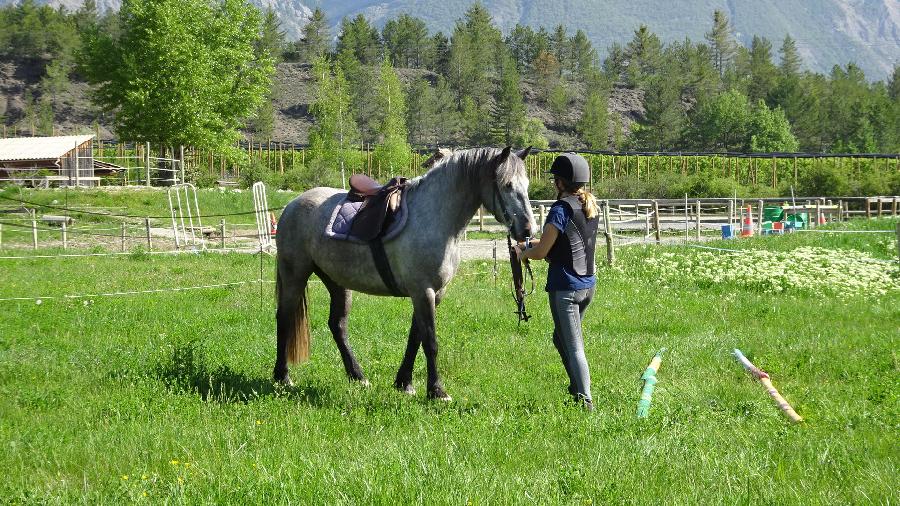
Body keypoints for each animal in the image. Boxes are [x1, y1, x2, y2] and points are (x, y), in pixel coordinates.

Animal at [270, 145, 532, 400]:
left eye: (527, 185)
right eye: (507, 185)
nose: (528, 230)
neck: (433, 216)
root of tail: (292, 205)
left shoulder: (433, 294)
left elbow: (415, 338)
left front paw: (405, 382)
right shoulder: (423, 291)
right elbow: (430, 341)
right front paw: (437, 391)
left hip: (337, 282)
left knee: (338, 326)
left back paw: (357, 376)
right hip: (295, 275)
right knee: (284, 318)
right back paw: (282, 377)